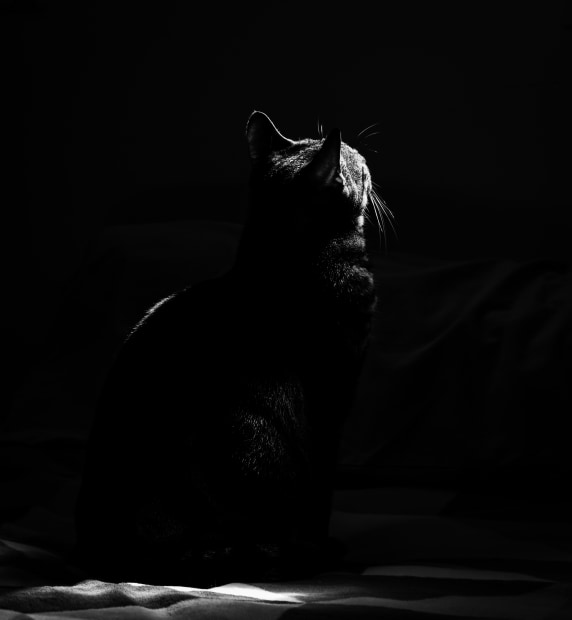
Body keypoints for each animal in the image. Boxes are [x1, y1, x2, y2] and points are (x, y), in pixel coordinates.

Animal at [75, 111, 378, 587]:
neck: (279, 262)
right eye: (358, 162)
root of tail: (110, 548)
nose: (367, 156)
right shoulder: (331, 403)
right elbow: (322, 495)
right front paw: (321, 545)